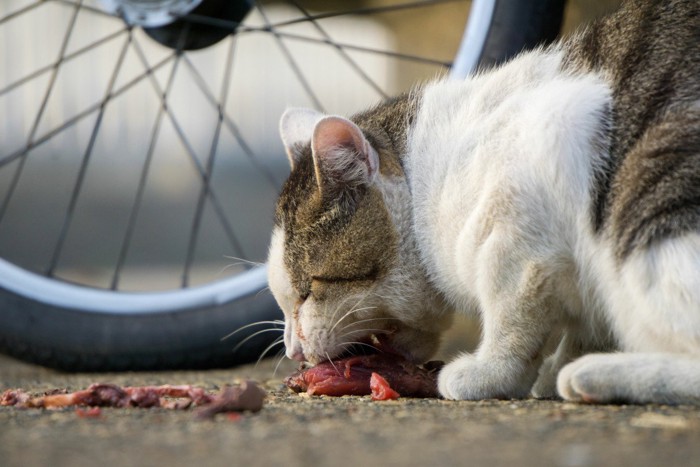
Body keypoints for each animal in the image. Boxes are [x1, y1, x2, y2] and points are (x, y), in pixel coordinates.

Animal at [266, 0, 696, 404]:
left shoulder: (519, 241)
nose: (292, 351)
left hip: (648, 201)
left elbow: (512, 319)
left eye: (309, 289)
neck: (430, 180)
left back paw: (595, 376)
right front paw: (558, 365)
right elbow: (584, 326)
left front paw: (491, 374)